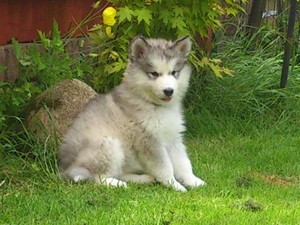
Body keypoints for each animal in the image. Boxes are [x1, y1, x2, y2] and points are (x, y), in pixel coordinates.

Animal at [59, 36, 207, 191]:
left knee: (120, 173)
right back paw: (117, 184)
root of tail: (65, 169)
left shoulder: (174, 139)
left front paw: (194, 181)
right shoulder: (149, 142)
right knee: (97, 177)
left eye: (174, 72)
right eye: (154, 73)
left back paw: (144, 179)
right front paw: (175, 185)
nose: (168, 91)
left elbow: (183, 163)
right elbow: (165, 168)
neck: (156, 106)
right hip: (108, 144)